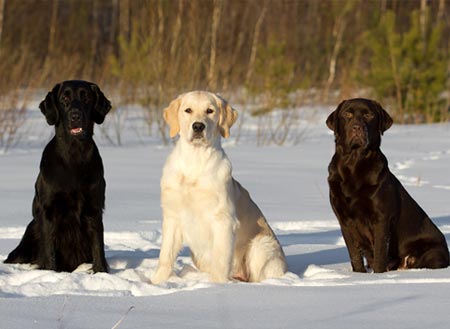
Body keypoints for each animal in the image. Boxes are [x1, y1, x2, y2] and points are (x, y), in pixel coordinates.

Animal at [5, 79, 111, 272]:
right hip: (31, 230)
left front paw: (101, 273)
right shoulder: (49, 210)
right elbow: (49, 250)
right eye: (65, 99)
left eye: (86, 98)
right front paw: (51, 272)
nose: (75, 116)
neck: (74, 156)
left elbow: (98, 246)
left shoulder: (94, 207)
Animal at [326, 98, 448, 272]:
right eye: (347, 114)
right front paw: (358, 275)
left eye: (369, 115)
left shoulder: (381, 218)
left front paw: (379, 275)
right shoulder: (344, 219)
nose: (357, 127)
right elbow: (354, 256)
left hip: (433, 253)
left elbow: (380, 254)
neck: (354, 164)